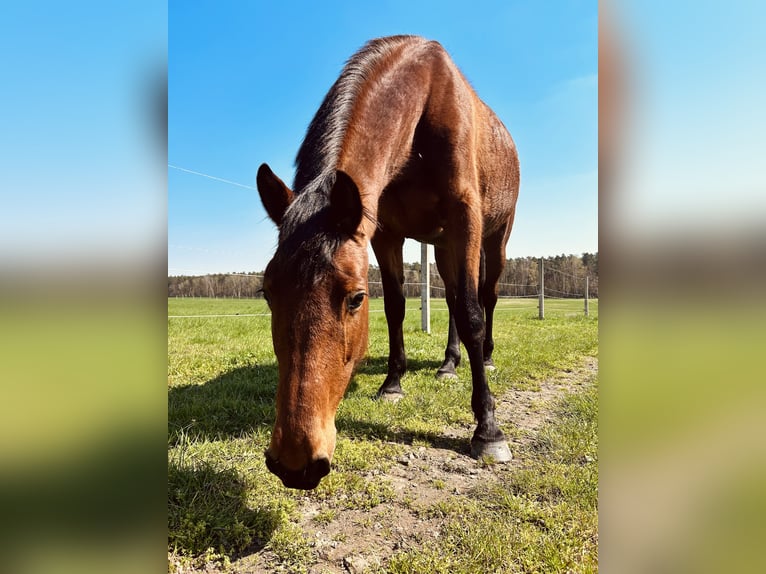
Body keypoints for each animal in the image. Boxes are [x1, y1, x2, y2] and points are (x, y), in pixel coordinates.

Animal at [260, 35, 520, 490]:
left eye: (355, 298)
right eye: (267, 293)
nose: (295, 461)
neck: (421, 102)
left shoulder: (465, 218)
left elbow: (471, 312)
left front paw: (488, 428)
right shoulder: (386, 233)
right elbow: (398, 307)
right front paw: (393, 383)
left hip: (493, 238)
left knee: (483, 298)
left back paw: (484, 356)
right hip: (442, 246)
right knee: (452, 298)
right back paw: (448, 363)